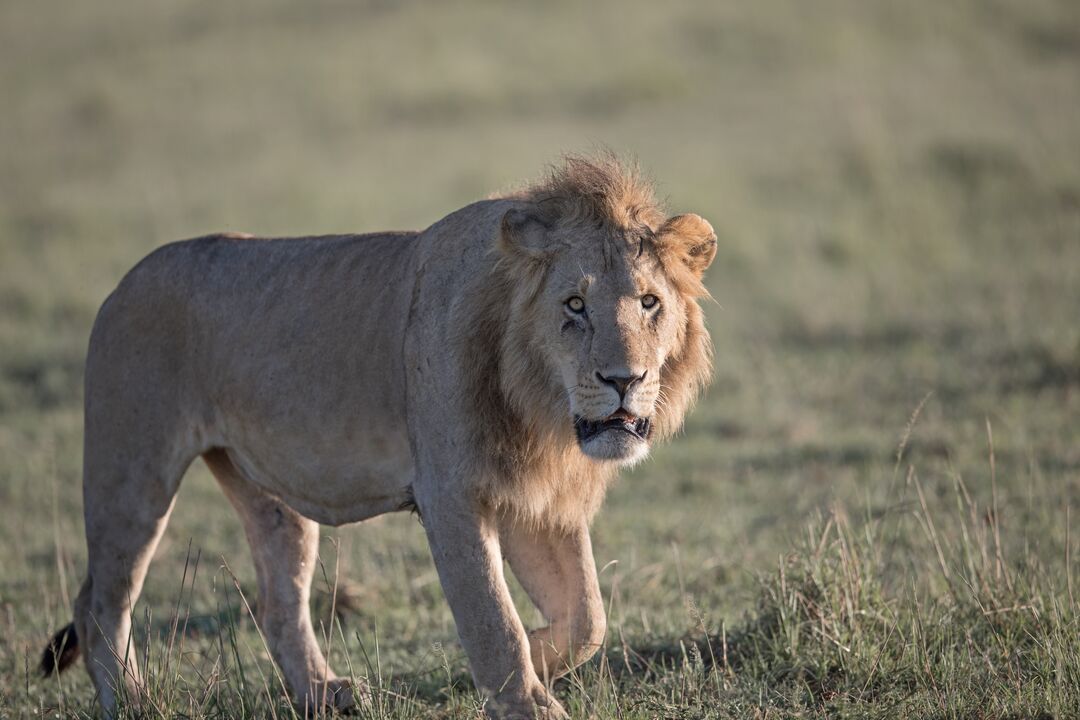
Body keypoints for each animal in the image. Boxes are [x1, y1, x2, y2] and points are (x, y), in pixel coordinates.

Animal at [39, 153, 717, 720]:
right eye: (575, 304)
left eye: (649, 303)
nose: (625, 380)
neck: (542, 409)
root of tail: (122, 283)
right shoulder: (451, 495)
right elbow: (493, 618)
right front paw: (527, 699)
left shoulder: (540, 499)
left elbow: (586, 619)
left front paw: (532, 657)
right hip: (132, 470)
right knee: (102, 601)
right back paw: (132, 702)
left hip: (269, 493)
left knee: (278, 605)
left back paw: (324, 694)